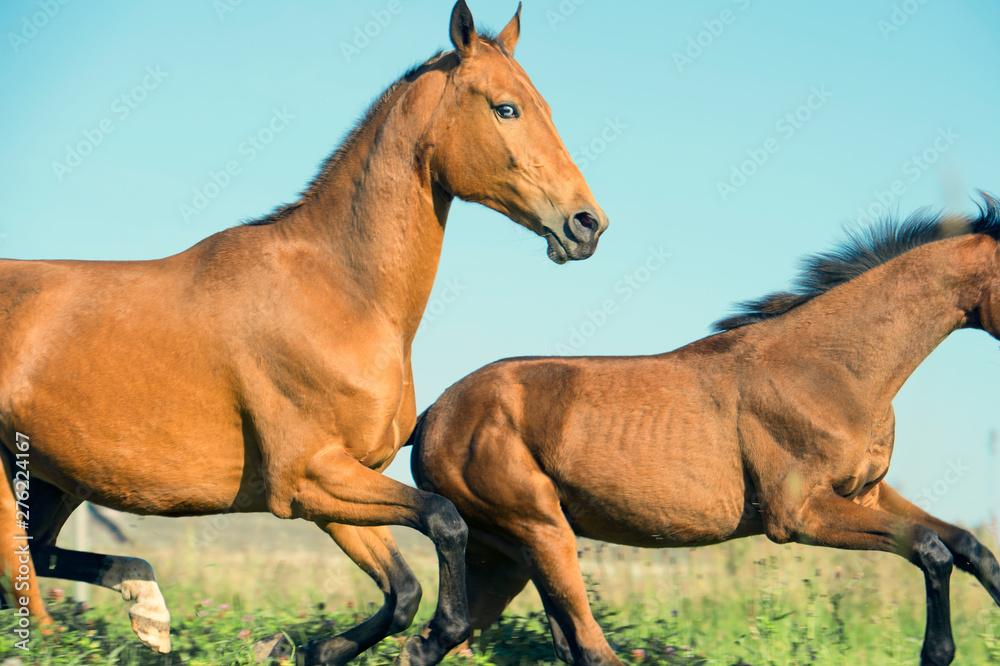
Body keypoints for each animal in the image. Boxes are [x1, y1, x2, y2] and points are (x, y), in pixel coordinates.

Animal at [0, 2, 609, 664]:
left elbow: (402, 590)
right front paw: (431, 638)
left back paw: (148, 608)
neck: (339, 293)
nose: (587, 224)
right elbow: (445, 521)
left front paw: (308, 648)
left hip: (55, 476)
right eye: (506, 108)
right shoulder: (307, 477)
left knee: (39, 555)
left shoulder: (336, 483)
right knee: (19, 567)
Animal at [410, 194, 1000, 666]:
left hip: (505, 557)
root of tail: (431, 417)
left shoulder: (867, 495)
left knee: (436, 641)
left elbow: (969, 546)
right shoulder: (798, 515)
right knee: (586, 648)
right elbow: (930, 548)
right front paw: (937, 652)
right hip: (542, 531)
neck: (832, 369)